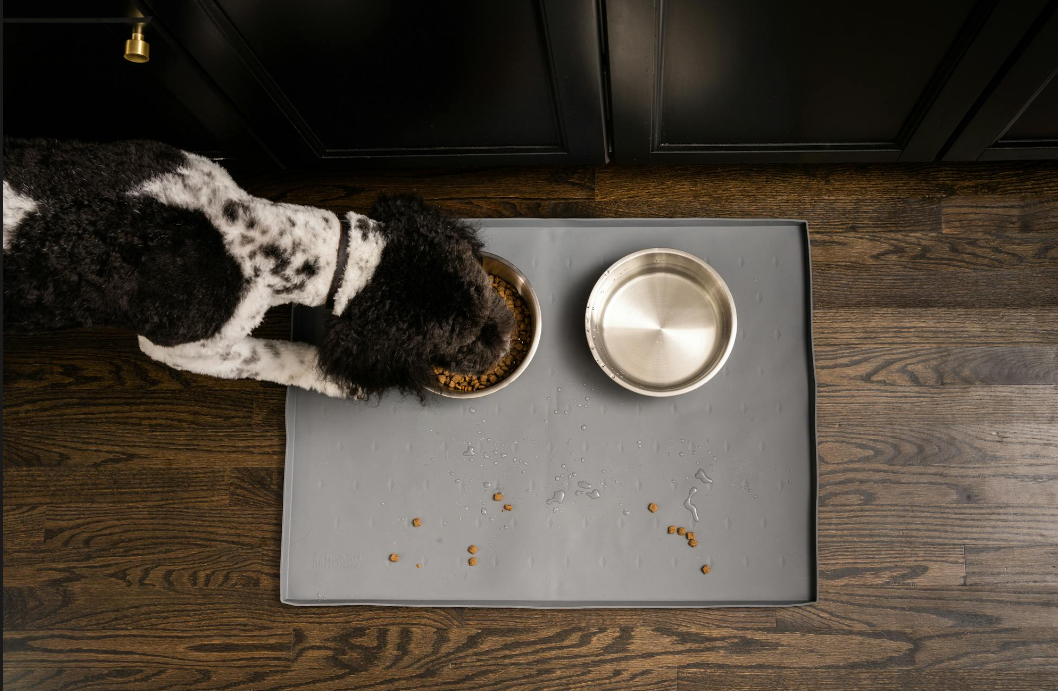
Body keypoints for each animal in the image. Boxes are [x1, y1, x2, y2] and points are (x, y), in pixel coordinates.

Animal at [3, 137, 516, 397]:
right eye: (455, 341)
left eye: (482, 288)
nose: (506, 336)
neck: (245, 232)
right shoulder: (185, 346)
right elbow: (267, 355)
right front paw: (328, 378)